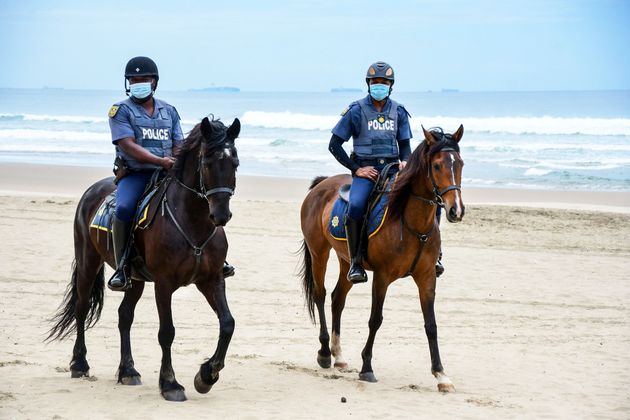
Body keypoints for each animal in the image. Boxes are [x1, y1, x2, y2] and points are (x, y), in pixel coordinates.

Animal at [47, 116, 242, 402]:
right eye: (207, 162)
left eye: (234, 163)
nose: (221, 215)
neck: (191, 221)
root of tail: (92, 190)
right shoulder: (164, 284)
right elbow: (167, 332)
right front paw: (170, 384)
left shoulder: (212, 279)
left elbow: (227, 323)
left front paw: (206, 376)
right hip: (87, 263)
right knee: (82, 308)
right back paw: (80, 365)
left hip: (134, 279)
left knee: (124, 315)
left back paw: (128, 371)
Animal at [298, 124, 466, 390]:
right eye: (438, 165)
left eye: (460, 163)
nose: (456, 210)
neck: (411, 222)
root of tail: (322, 183)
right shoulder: (382, 276)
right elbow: (375, 319)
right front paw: (367, 367)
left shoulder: (427, 277)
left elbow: (431, 325)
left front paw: (441, 375)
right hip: (319, 252)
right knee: (320, 295)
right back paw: (324, 352)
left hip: (347, 261)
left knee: (337, 299)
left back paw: (339, 355)